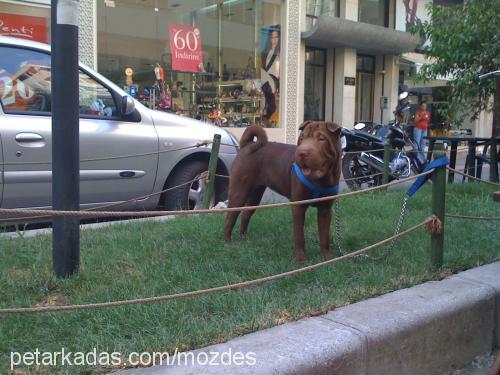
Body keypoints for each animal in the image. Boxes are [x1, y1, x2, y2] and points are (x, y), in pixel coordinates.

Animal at [225, 122, 342, 262]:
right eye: (302, 138)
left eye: (322, 139)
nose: (302, 152)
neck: (321, 180)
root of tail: (247, 145)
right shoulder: (298, 206)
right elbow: (299, 235)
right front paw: (301, 259)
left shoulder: (325, 209)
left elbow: (324, 236)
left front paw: (328, 258)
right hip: (239, 192)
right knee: (230, 217)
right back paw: (227, 243)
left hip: (255, 194)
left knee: (246, 214)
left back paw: (243, 239)